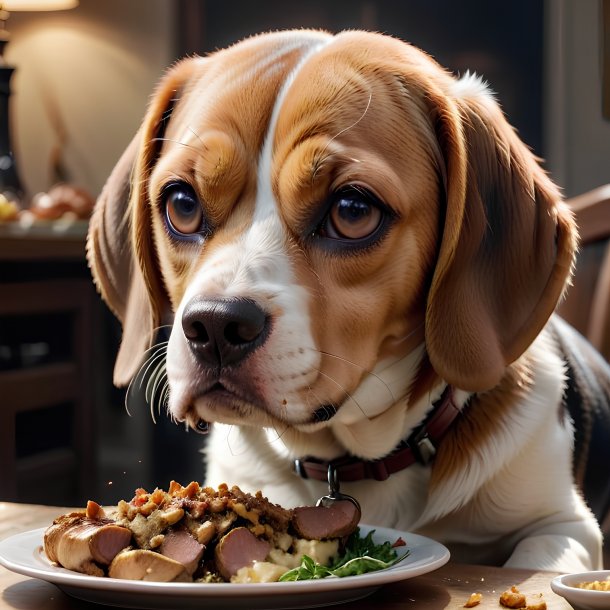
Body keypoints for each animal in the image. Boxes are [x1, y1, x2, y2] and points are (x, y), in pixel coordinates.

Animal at [88, 28, 604, 568]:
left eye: (352, 210)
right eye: (182, 204)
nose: (214, 326)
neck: (351, 458)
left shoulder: (565, 527)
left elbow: (533, 559)